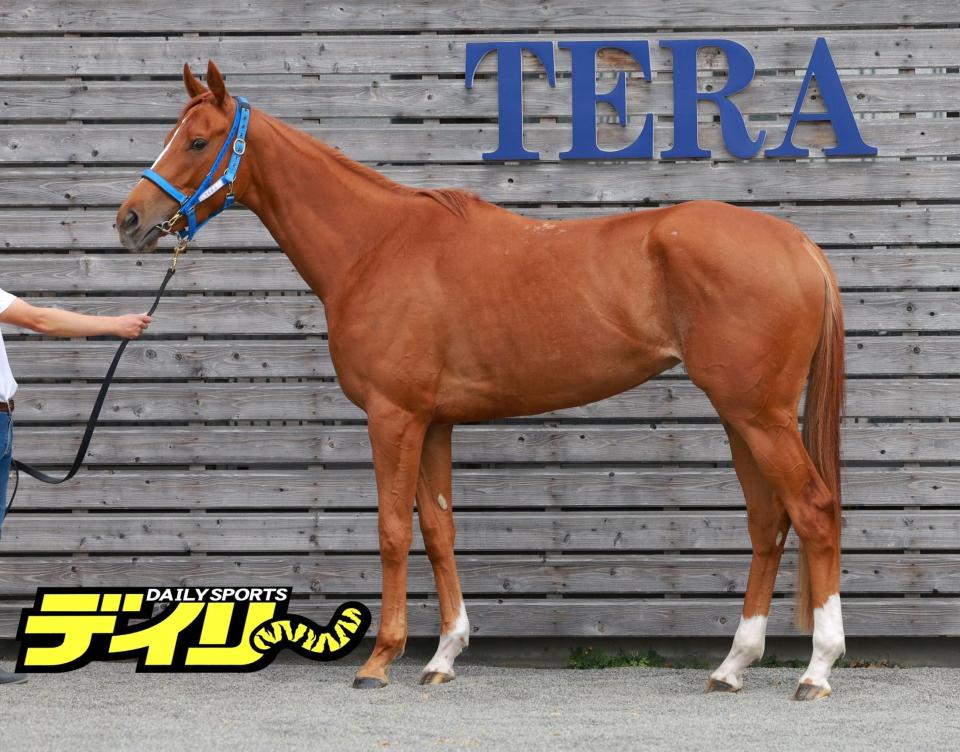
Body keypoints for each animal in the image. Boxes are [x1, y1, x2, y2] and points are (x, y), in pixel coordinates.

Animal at [117, 61, 846, 700]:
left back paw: (817, 669)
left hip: (759, 415)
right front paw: (442, 656)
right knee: (768, 520)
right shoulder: (433, 420)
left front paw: (379, 661)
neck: (375, 245)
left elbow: (392, 529)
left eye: (199, 141)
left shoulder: (393, 416)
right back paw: (732, 666)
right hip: (740, 416)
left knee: (812, 509)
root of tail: (798, 245)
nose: (129, 221)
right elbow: (439, 530)